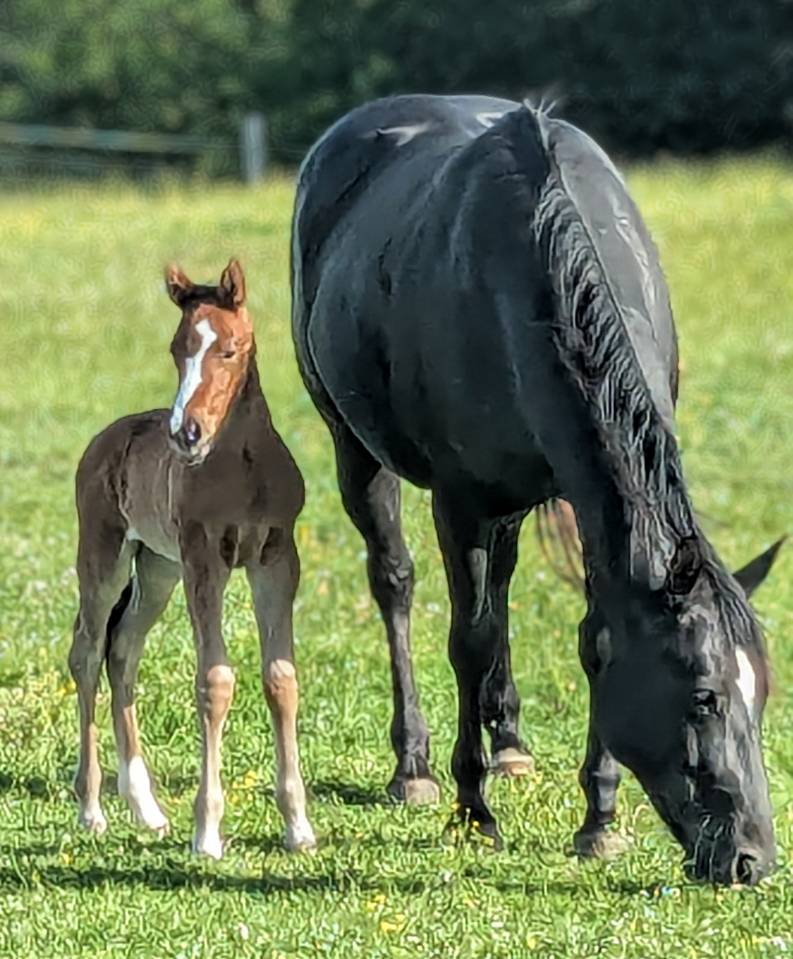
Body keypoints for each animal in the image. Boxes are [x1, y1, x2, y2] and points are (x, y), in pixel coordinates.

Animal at [68, 259, 316, 857]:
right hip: (106, 556)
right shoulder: (206, 558)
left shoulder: (277, 558)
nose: (186, 433)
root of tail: (104, 439)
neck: (244, 468)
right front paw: (207, 831)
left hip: (158, 570)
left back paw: (147, 809)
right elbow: (215, 681)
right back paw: (92, 809)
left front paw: (298, 827)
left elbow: (281, 679)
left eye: (229, 348)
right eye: (177, 348)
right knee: (87, 652)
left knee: (123, 651)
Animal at [290, 94, 783, 884]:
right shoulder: (458, 500)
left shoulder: (580, 502)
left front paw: (600, 818)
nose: (750, 858)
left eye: (760, 691)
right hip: (354, 449)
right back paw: (414, 766)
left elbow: (594, 637)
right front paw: (472, 809)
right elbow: (468, 637)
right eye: (703, 695)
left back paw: (512, 743)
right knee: (394, 582)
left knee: (502, 584)